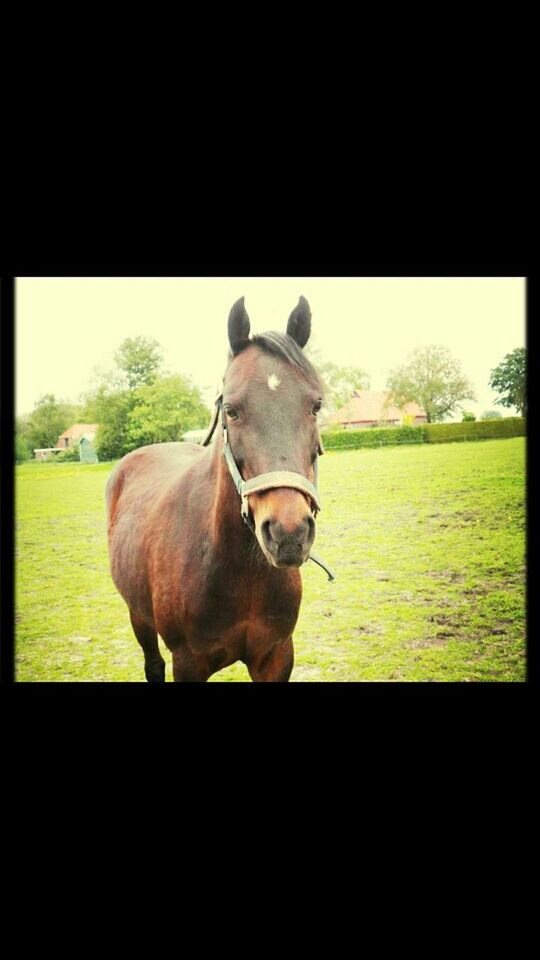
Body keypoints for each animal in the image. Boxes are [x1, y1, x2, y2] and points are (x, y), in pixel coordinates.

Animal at [105, 296, 330, 680]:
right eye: (232, 410)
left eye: (316, 406)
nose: (288, 533)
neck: (238, 569)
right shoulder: (188, 662)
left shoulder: (276, 655)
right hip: (138, 615)